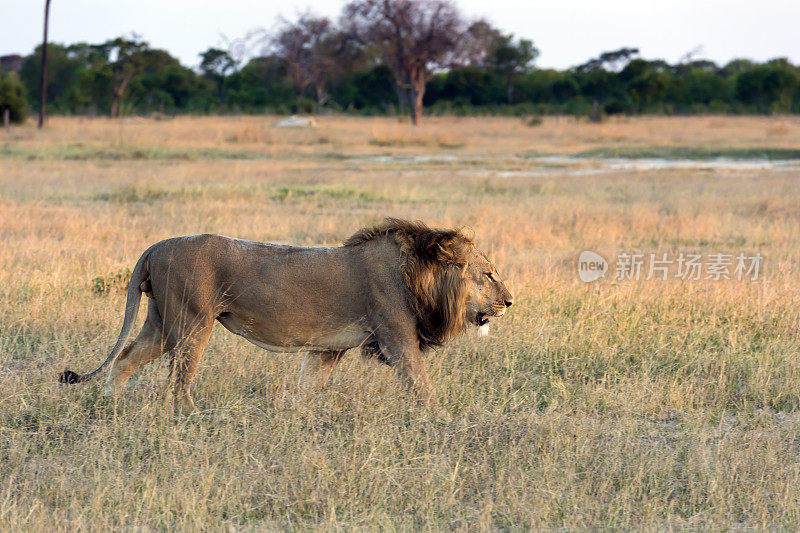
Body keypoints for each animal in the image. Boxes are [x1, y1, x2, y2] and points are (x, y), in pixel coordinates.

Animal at [61, 218, 512, 410]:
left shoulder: (329, 348)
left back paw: (109, 407)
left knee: (125, 358)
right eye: (488, 274)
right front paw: (441, 419)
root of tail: (157, 245)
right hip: (192, 323)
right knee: (177, 382)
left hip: (160, 321)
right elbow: (421, 386)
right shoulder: (397, 337)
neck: (416, 272)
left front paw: (299, 416)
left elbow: (310, 385)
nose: (510, 302)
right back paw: (190, 416)